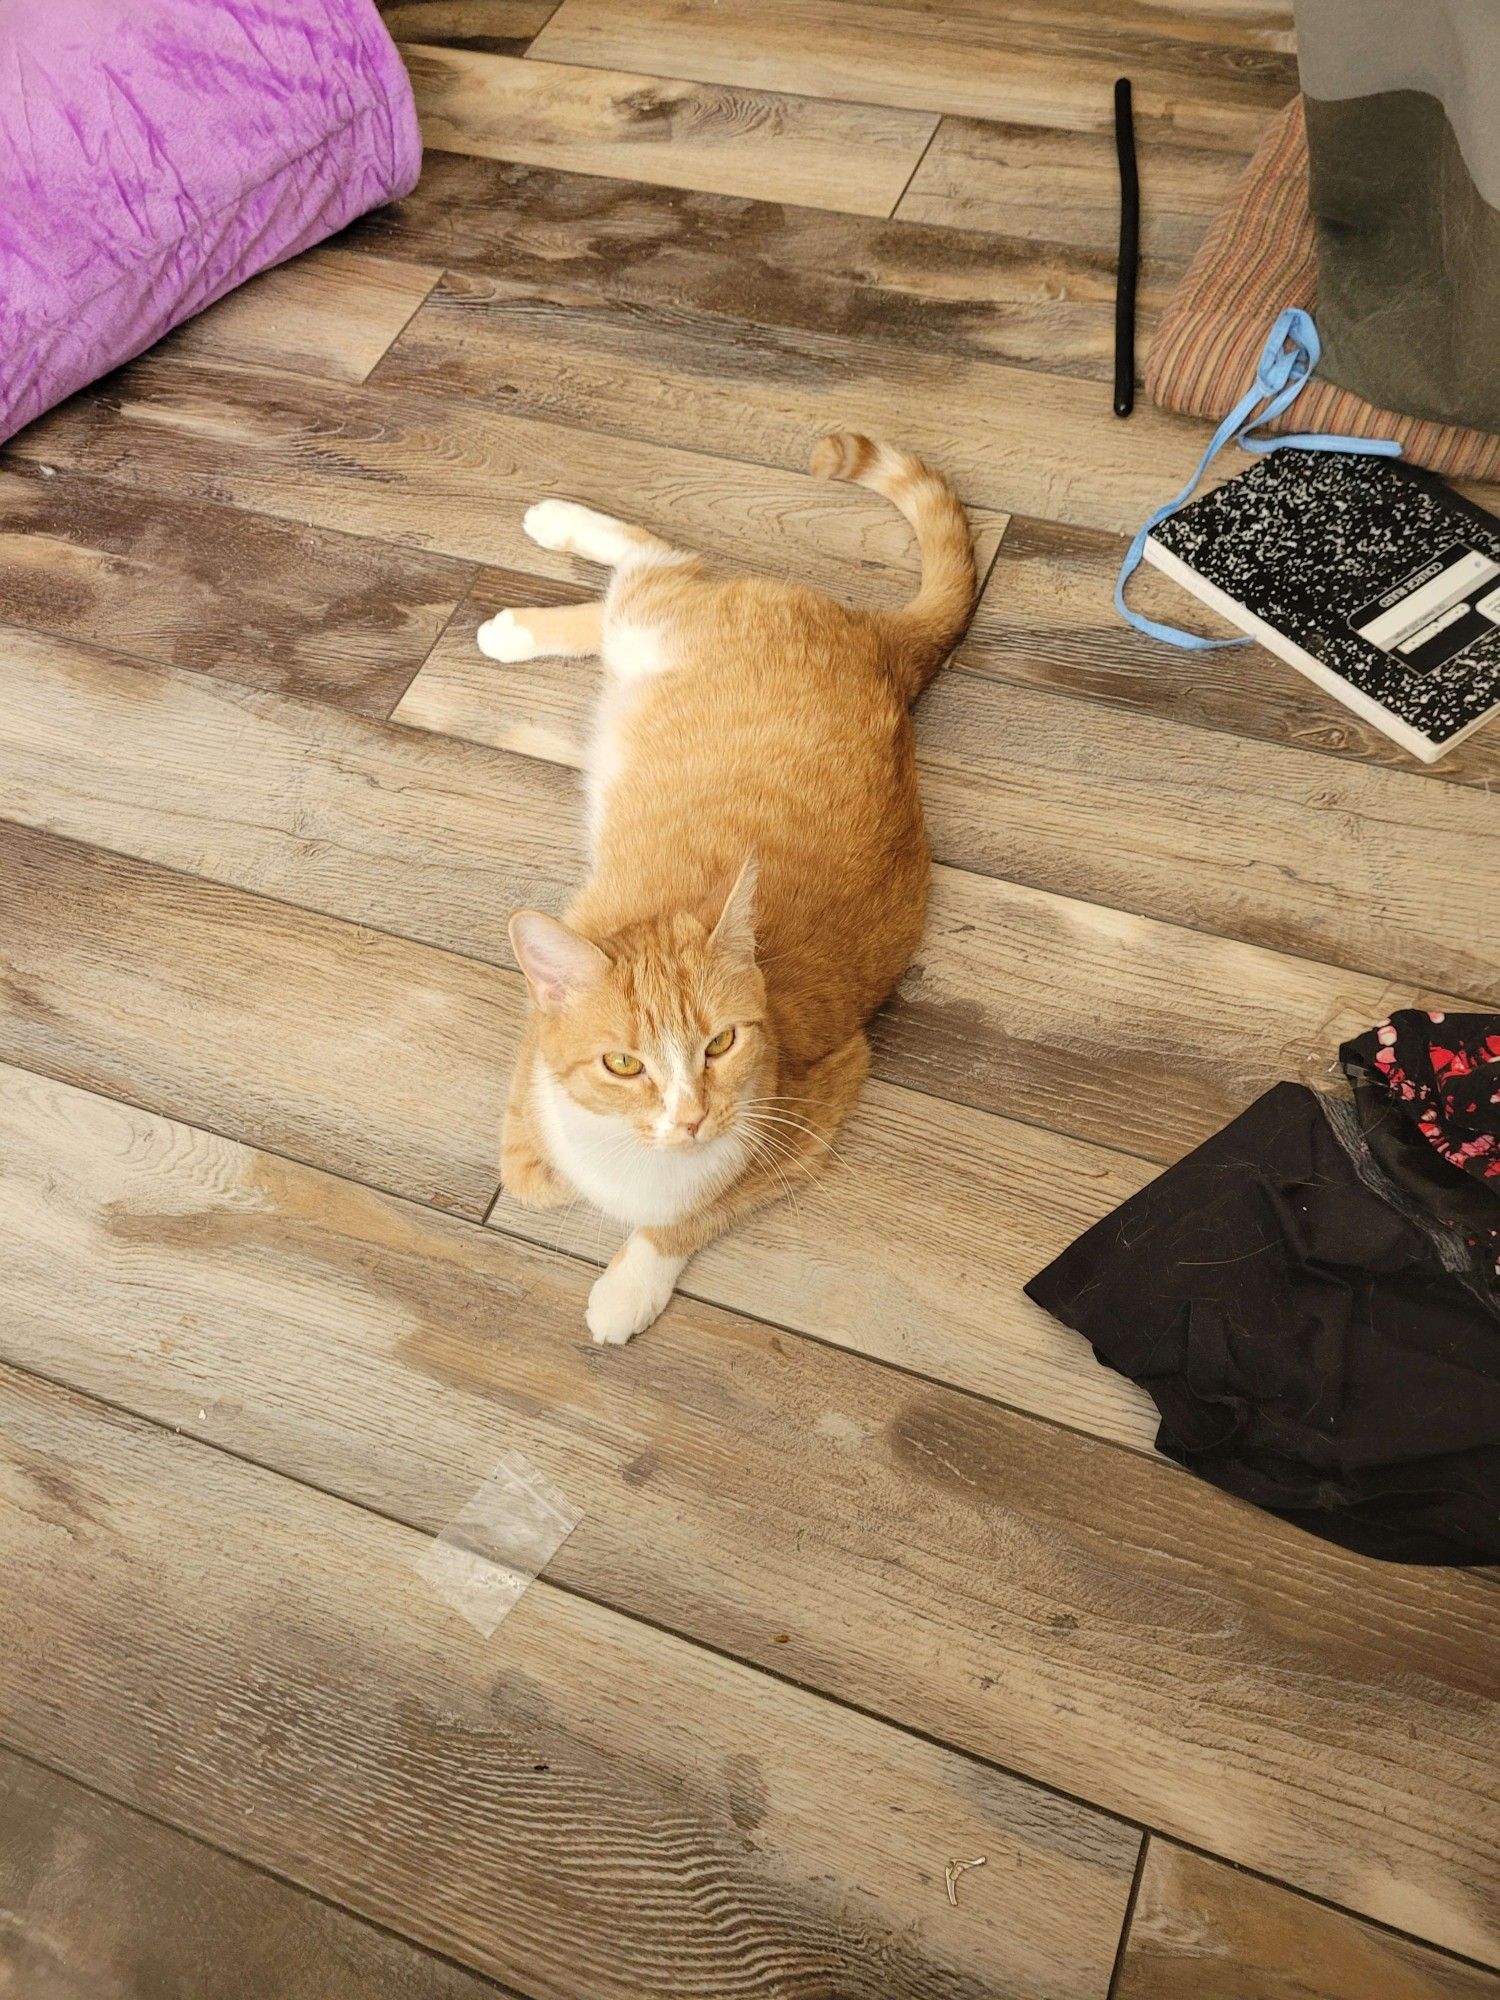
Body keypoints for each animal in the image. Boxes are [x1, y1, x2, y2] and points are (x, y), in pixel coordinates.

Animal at [494, 436, 980, 1344]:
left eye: (720, 1044)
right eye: (623, 1063)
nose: (690, 1117)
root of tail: (876, 642)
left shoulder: (821, 1107)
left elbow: (694, 1216)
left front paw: (631, 1283)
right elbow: (528, 1151)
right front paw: (536, 1156)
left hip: (658, 626)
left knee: (656, 568)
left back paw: (532, 589)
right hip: (657, 623)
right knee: (656, 565)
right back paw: (541, 567)